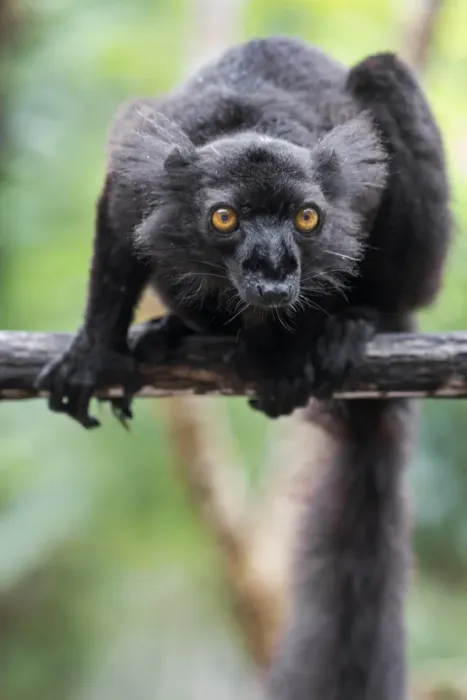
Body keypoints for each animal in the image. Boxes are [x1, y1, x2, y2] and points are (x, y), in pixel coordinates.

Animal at [36, 37, 451, 699]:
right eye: (224, 218)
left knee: (385, 76)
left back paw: (357, 324)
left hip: (416, 279)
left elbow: (340, 258)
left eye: (307, 218)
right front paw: (95, 349)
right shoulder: (139, 176)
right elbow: (118, 225)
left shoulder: (349, 206)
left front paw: (296, 346)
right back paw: (178, 330)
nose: (275, 273)